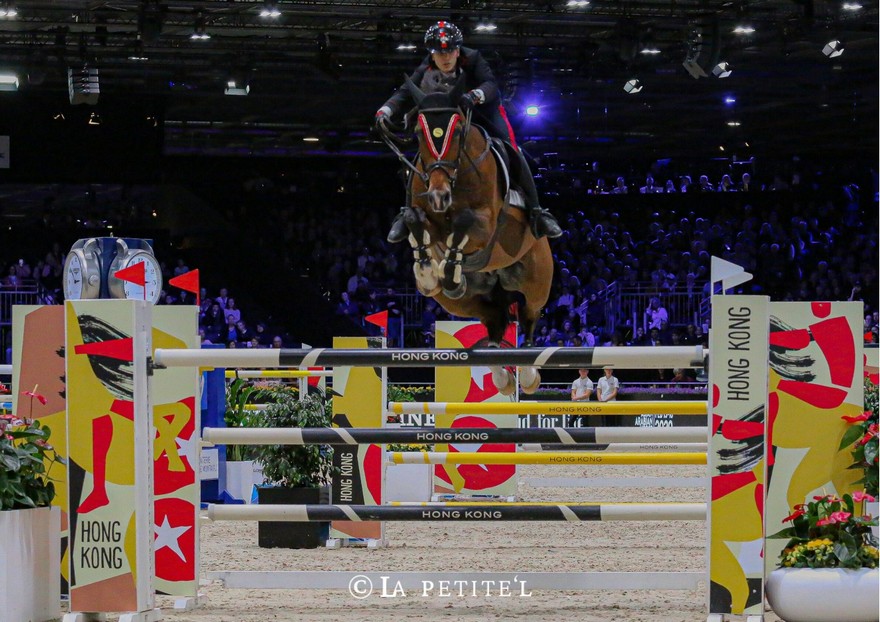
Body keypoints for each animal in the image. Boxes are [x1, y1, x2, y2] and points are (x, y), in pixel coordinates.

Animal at [376, 74, 552, 394]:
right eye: (418, 133)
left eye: (457, 132)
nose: (439, 196)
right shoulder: (425, 212)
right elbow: (413, 218)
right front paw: (428, 273)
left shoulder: (487, 224)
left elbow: (464, 222)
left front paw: (446, 268)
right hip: (460, 302)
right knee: (493, 318)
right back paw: (501, 375)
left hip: (536, 280)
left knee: (530, 315)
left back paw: (528, 374)